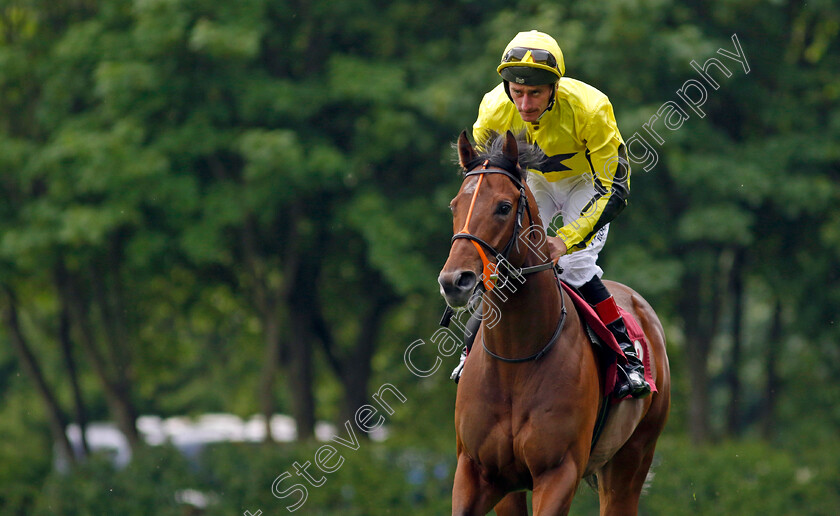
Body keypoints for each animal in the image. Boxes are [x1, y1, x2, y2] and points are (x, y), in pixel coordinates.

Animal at [440, 131, 668, 512]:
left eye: (503, 207)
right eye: (455, 205)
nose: (455, 281)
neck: (515, 360)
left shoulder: (559, 472)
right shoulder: (477, 474)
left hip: (632, 459)